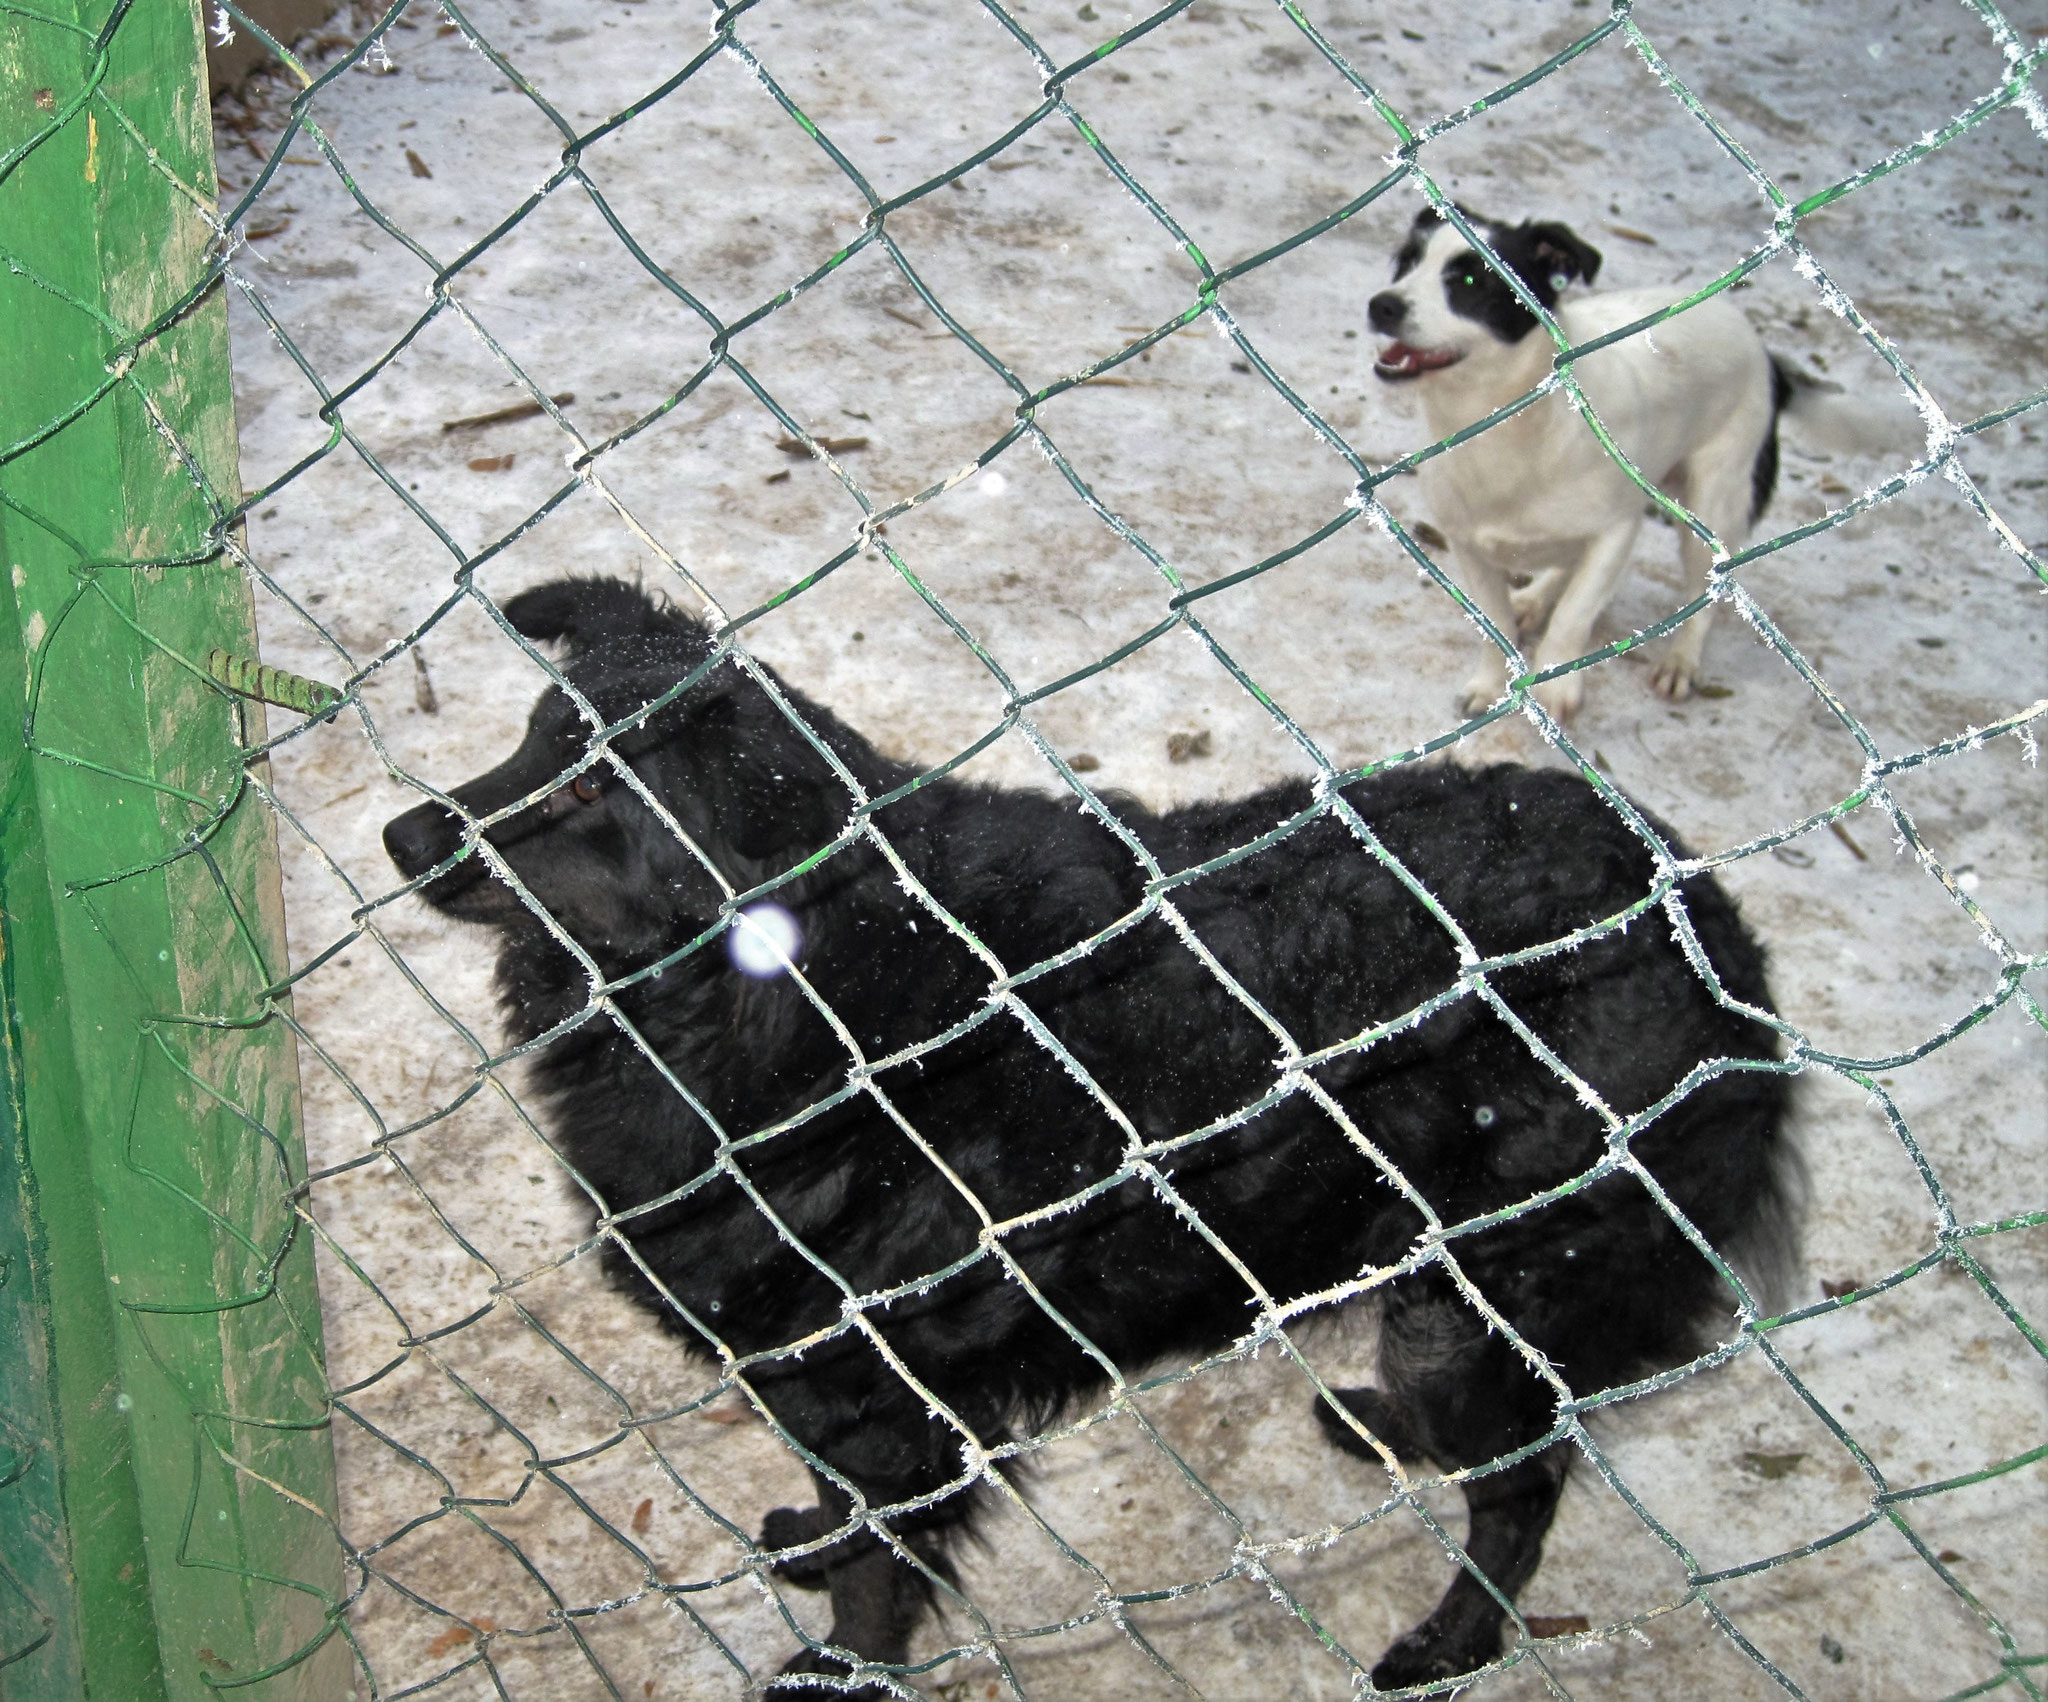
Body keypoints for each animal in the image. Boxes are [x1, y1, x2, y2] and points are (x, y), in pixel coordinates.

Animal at [387, 577, 1794, 1695]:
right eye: (530, 736)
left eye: (589, 790)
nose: (403, 833)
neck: (771, 998)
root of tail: (1707, 920)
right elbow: (841, 1516)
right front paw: (810, 1541)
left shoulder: (889, 1394)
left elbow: (881, 1568)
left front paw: (844, 1665)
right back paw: (1386, 1430)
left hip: (1502, 1284)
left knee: (1520, 1486)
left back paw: (1451, 1640)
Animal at [1368, 206, 1908, 720]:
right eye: (1406, 261)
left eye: (1471, 281)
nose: (1381, 305)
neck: (1505, 425)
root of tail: (1767, 356)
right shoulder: (1467, 545)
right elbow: (1495, 624)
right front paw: (1490, 683)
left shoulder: (1617, 529)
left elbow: (1573, 616)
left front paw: (1558, 686)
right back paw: (1536, 597)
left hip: (1716, 505)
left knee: (1707, 592)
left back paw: (1681, 662)